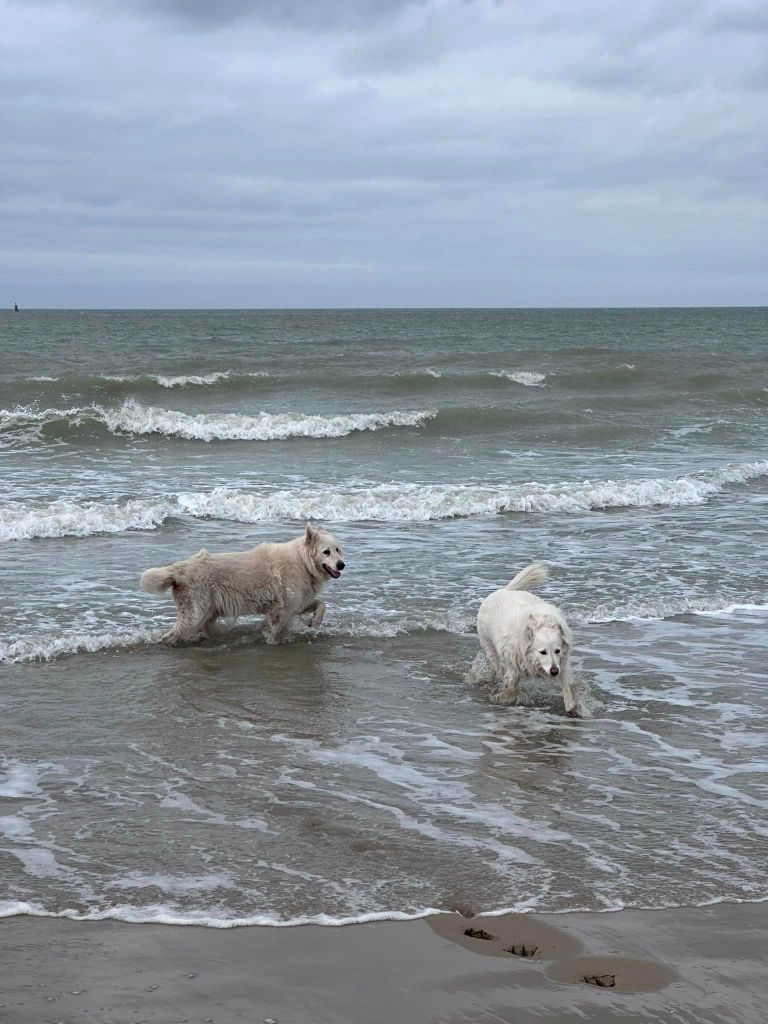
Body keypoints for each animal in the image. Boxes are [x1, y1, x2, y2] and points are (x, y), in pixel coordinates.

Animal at [140, 523, 345, 645]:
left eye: (338, 550)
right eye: (326, 552)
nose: (341, 564)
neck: (303, 562)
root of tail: (177, 569)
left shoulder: (297, 604)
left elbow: (321, 604)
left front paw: (315, 622)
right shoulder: (281, 609)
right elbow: (274, 631)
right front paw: (272, 642)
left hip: (207, 612)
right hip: (194, 614)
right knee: (170, 635)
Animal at [475, 564, 577, 715]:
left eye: (557, 650)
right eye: (542, 652)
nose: (554, 671)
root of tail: (504, 590)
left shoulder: (562, 663)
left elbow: (566, 683)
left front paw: (571, 705)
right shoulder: (513, 666)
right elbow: (512, 686)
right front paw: (504, 697)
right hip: (489, 647)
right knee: (495, 667)